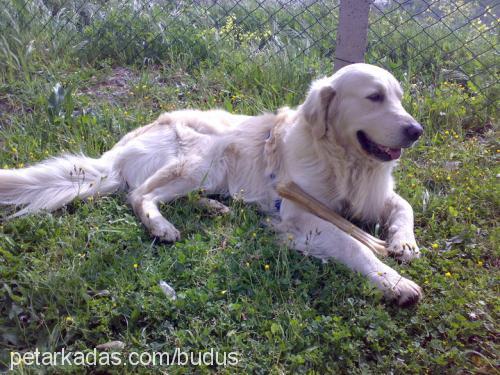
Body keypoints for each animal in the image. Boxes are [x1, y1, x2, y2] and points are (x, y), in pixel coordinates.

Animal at [0, 63, 424, 306]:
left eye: (399, 97)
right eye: (374, 97)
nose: (416, 130)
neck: (345, 161)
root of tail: (116, 151)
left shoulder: (377, 196)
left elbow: (404, 207)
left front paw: (404, 243)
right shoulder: (301, 217)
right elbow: (356, 245)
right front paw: (394, 282)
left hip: (211, 171)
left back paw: (217, 207)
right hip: (203, 157)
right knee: (139, 195)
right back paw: (162, 227)